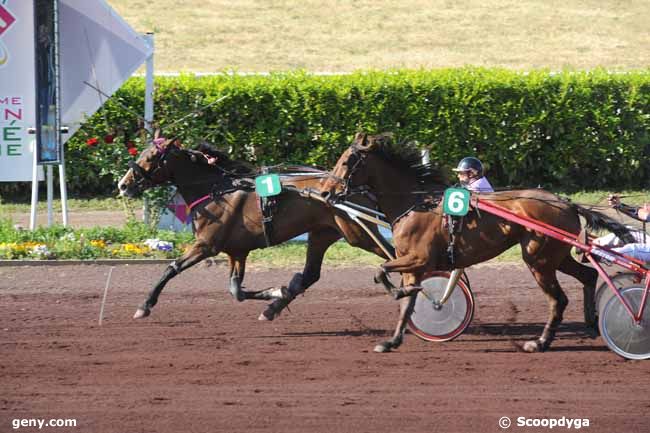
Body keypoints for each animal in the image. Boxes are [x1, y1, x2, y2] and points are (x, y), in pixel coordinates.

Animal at [116, 138, 390, 320]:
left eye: (150, 158)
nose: (123, 185)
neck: (216, 190)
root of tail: (356, 186)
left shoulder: (206, 245)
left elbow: (171, 268)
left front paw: (145, 305)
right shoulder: (237, 251)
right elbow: (236, 290)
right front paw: (276, 292)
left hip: (358, 233)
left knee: (389, 254)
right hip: (322, 233)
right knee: (310, 274)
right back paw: (272, 309)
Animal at [322, 132, 632, 352]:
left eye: (346, 162)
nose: (326, 192)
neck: (415, 203)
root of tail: (566, 203)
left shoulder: (419, 259)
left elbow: (382, 271)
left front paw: (403, 295)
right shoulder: (414, 265)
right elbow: (406, 302)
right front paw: (392, 340)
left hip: (539, 260)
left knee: (558, 300)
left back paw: (541, 342)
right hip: (557, 256)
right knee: (588, 275)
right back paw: (592, 324)